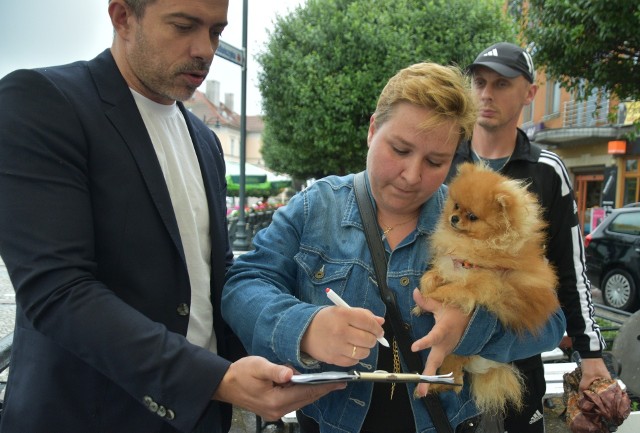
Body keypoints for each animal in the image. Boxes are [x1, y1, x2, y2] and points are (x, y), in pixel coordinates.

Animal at [418, 162, 556, 416]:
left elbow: (452, 291)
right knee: (456, 377)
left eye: (472, 217)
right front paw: (426, 288)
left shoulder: (480, 286)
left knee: (456, 374)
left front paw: (426, 299)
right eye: (456, 205)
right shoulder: (449, 265)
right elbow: (432, 275)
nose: (453, 218)